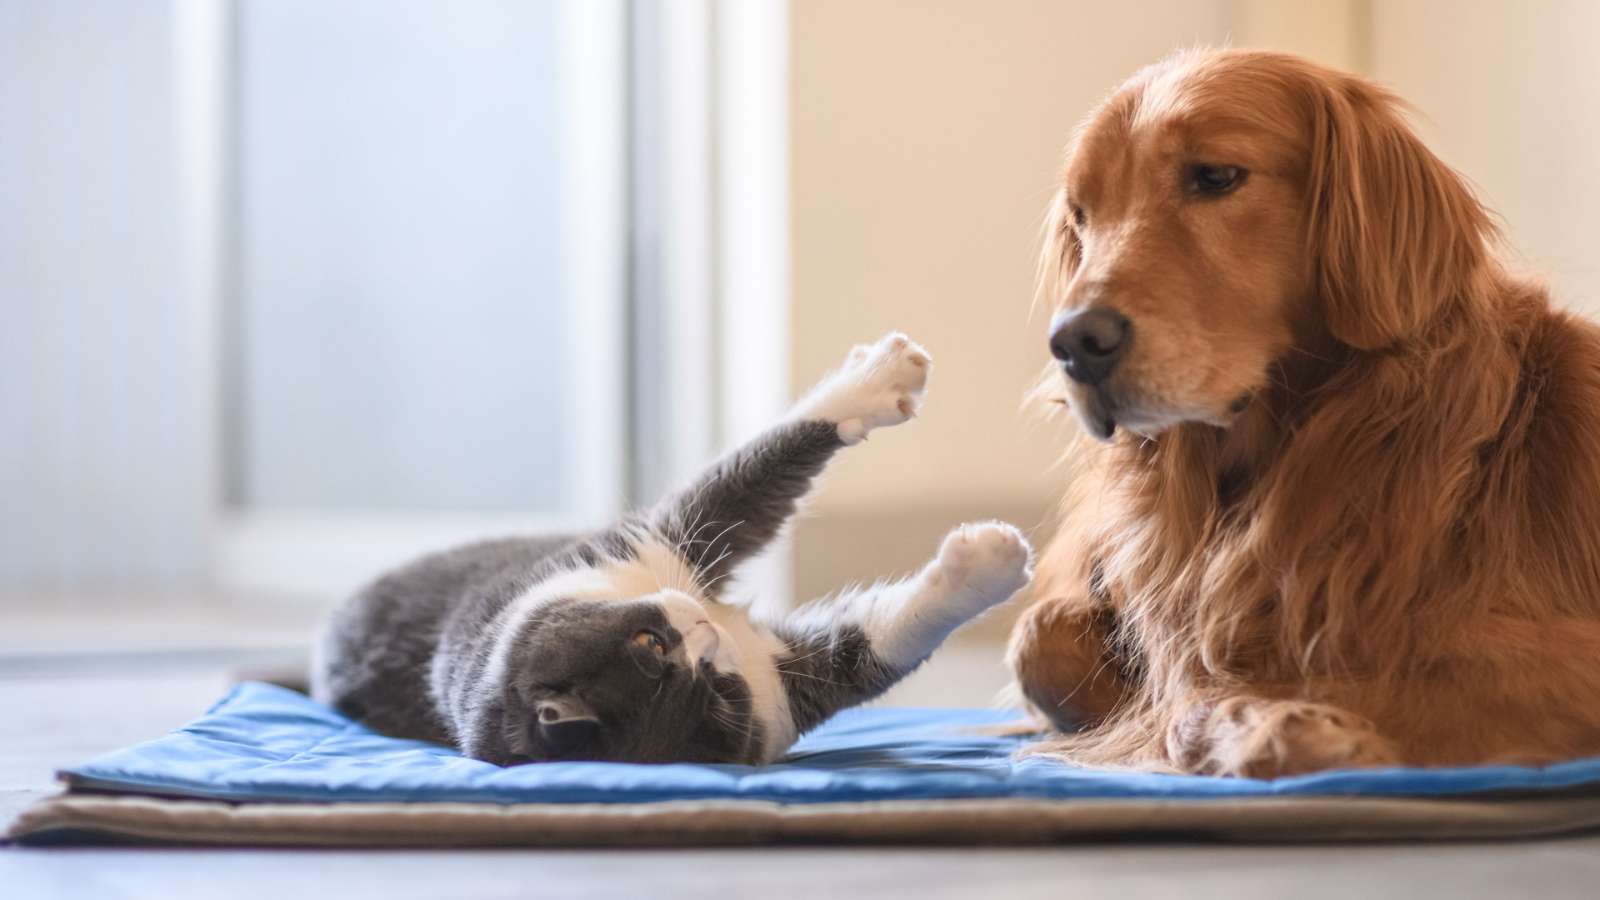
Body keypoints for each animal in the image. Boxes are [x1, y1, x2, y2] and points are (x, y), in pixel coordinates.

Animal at [312, 333, 1036, 759]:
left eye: (648, 642)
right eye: (708, 690)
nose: (700, 634)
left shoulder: (634, 547)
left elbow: (761, 463)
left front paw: (879, 377)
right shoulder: (781, 692)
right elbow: (878, 640)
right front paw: (992, 563)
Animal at [1011, 50, 1600, 778]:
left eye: (1215, 177)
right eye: (1082, 213)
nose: (1073, 342)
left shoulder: (1555, 655)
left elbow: (1224, 689)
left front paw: (1283, 725)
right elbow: (1049, 641)